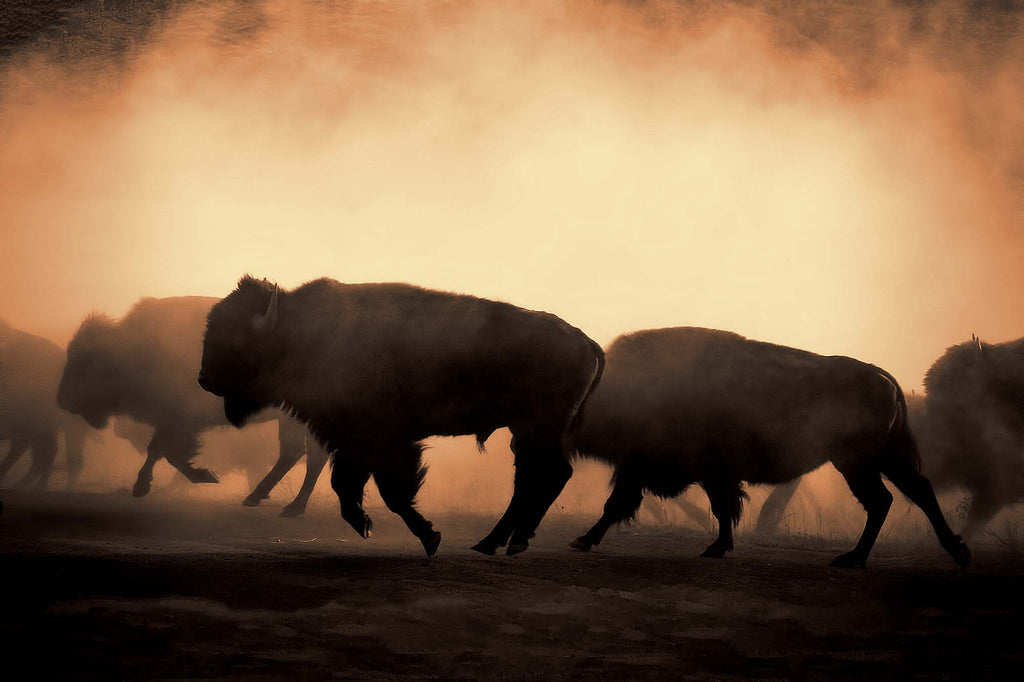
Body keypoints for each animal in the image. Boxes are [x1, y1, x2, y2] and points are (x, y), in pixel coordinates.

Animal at [57, 297, 328, 515]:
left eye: (84, 362)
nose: (62, 400)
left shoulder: (179, 419)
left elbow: (164, 451)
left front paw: (198, 477)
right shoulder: (173, 421)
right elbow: (161, 451)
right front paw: (145, 486)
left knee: (307, 455)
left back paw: (289, 505)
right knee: (297, 453)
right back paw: (263, 499)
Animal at [199, 276, 604, 556]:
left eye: (235, 339)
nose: (203, 379)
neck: (306, 332)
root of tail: (585, 340)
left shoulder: (382, 440)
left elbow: (390, 491)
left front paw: (428, 536)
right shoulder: (354, 442)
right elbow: (347, 487)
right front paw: (368, 524)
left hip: (536, 430)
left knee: (548, 476)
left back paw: (508, 542)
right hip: (526, 433)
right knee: (536, 480)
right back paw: (496, 542)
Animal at [569, 327, 971, 569]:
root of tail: (882, 375)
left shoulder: (702, 471)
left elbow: (718, 508)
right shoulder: (652, 469)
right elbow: (622, 504)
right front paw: (583, 540)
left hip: (856, 461)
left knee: (884, 500)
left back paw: (854, 558)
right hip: (882, 458)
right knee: (912, 493)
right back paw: (954, 550)